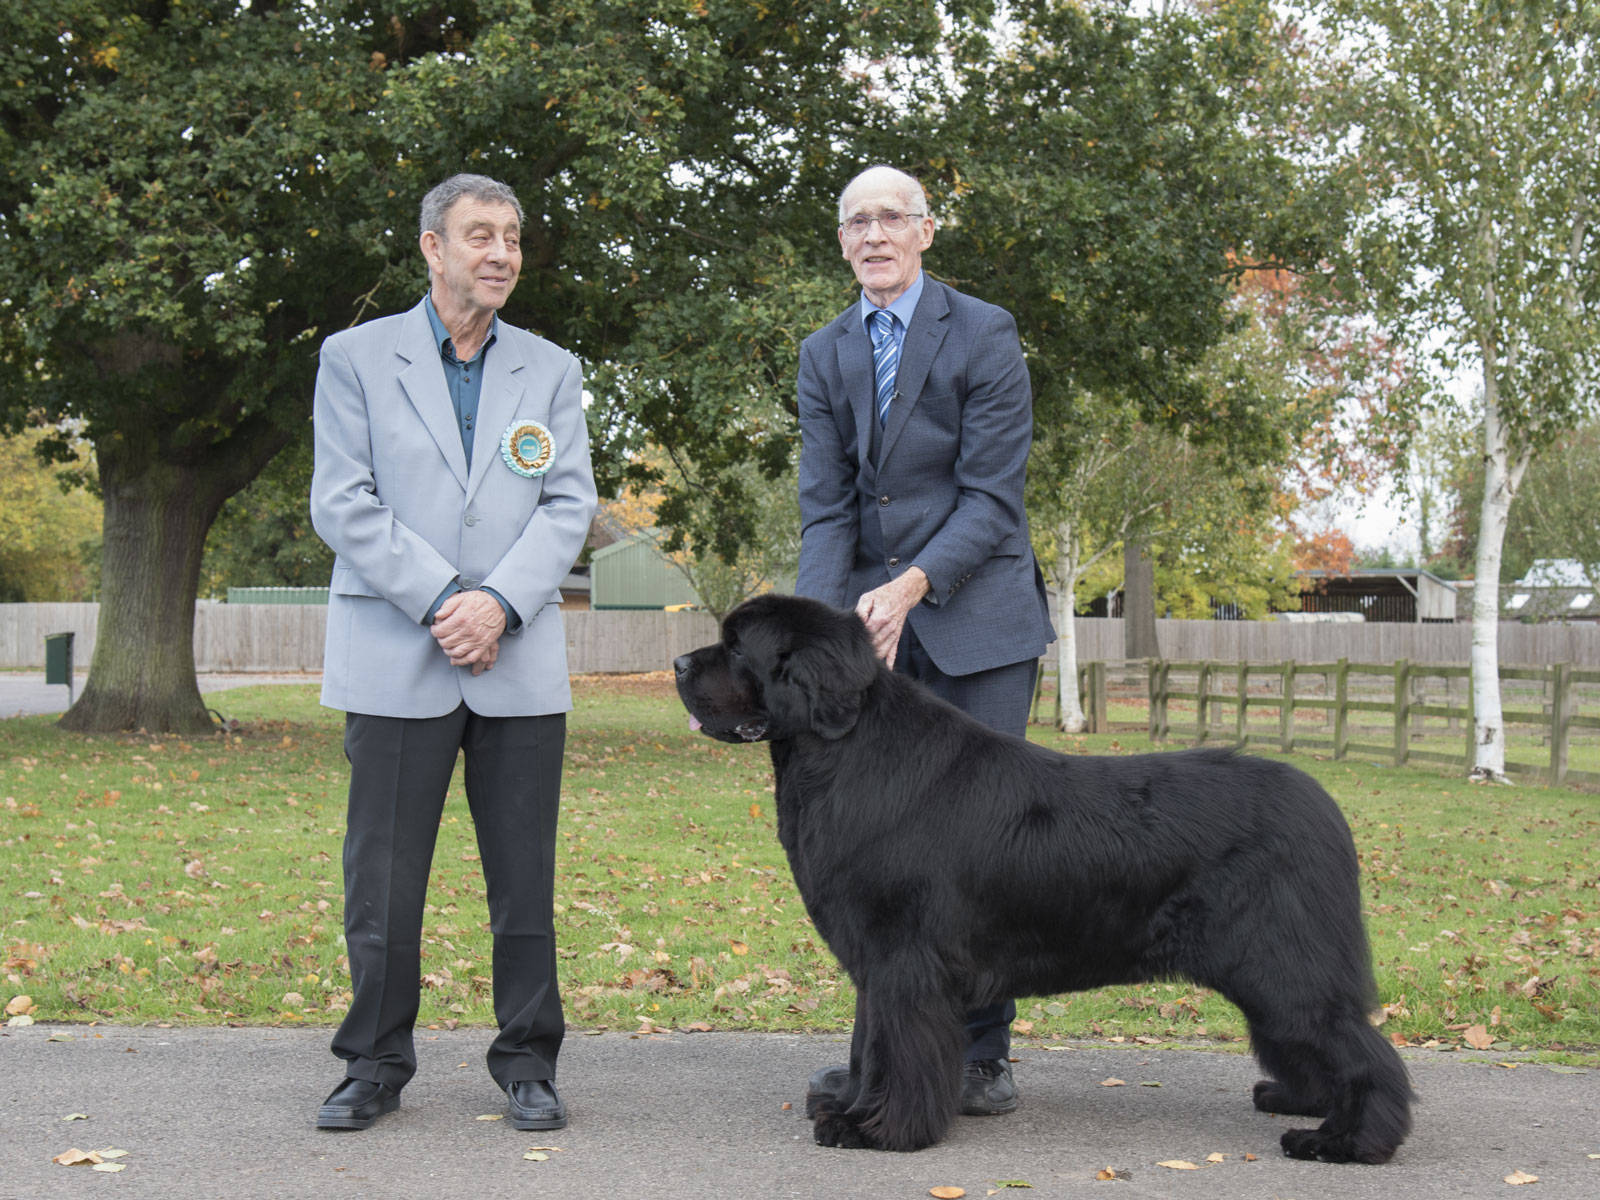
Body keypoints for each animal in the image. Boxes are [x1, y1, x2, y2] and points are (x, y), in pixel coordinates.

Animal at [675, 598, 1414, 1164]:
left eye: (737, 646)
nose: (680, 663)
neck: (845, 751)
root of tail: (1327, 810)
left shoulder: (904, 961)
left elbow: (897, 1049)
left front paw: (876, 1129)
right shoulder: (876, 964)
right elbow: (868, 1044)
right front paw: (851, 1104)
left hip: (1280, 963)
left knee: (1362, 1049)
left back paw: (1347, 1140)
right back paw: (1300, 1100)